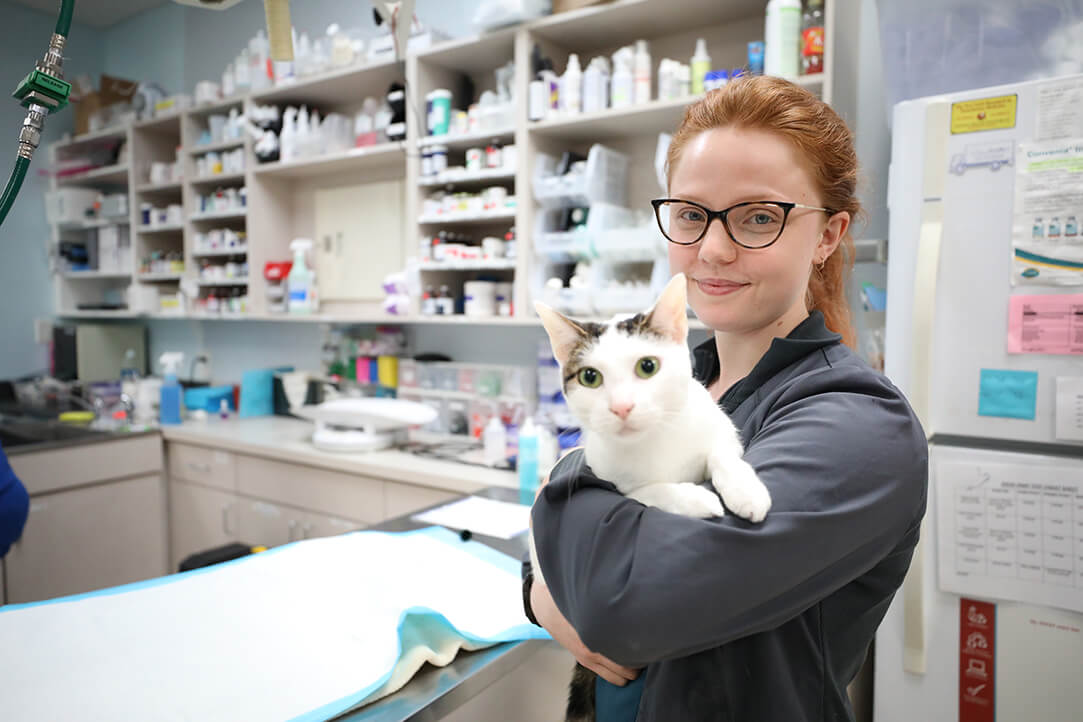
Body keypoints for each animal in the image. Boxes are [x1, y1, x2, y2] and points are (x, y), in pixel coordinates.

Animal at [530, 272, 771, 722]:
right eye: (590, 377)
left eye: (648, 367)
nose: (622, 408)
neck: (657, 436)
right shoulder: (612, 476)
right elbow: (650, 491)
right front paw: (697, 500)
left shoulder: (717, 428)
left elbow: (723, 453)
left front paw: (745, 490)